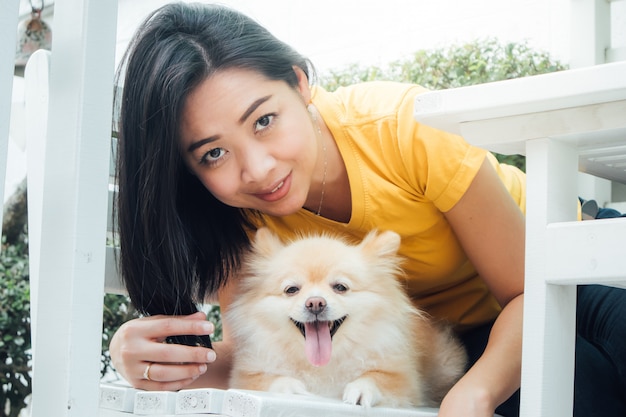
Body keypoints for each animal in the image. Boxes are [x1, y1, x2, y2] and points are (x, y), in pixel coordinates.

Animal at [224, 228, 464, 406]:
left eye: (340, 287)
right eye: (292, 290)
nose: (315, 302)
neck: (321, 364)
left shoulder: (404, 381)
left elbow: (378, 378)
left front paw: (360, 389)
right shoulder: (245, 376)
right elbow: (270, 379)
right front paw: (293, 389)